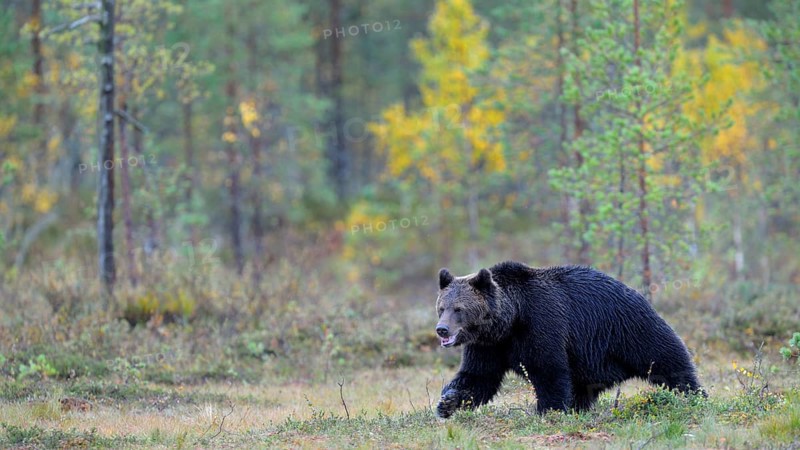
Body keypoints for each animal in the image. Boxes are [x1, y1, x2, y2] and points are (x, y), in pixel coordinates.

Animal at [434, 261, 703, 418]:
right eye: (441, 307)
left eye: (458, 309)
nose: (442, 330)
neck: (510, 320)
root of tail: (637, 292)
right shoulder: (489, 346)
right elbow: (479, 376)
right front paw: (447, 402)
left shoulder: (542, 324)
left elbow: (549, 370)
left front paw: (548, 410)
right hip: (591, 357)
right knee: (584, 385)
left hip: (629, 329)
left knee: (667, 359)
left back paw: (695, 395)